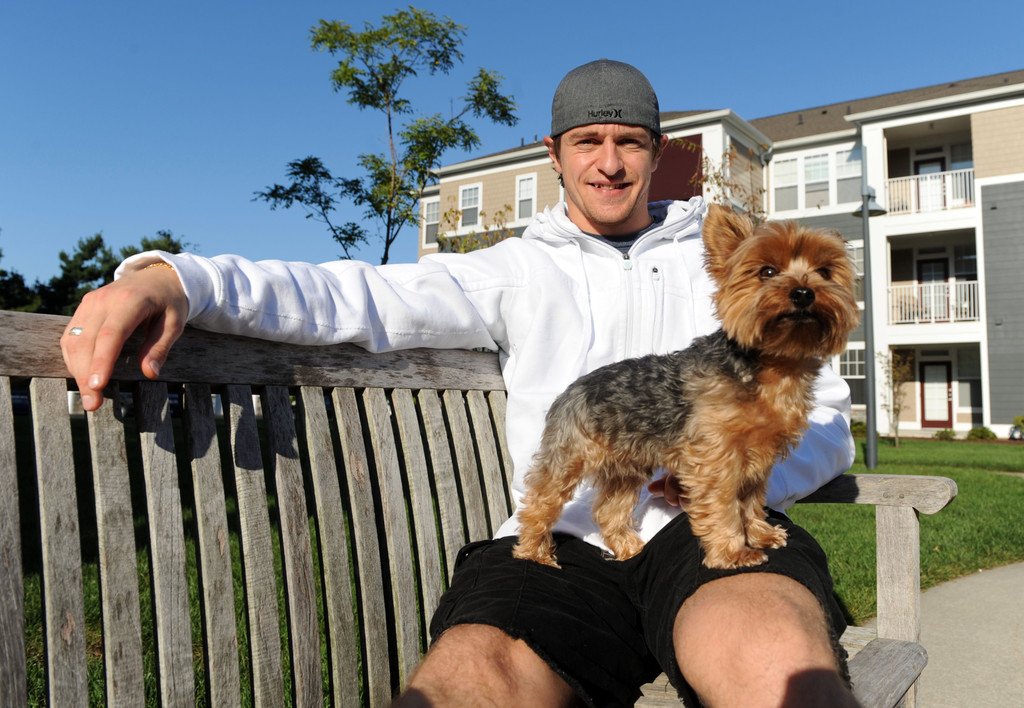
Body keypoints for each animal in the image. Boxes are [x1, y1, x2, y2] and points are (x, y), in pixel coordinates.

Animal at [511, 205, 860, 569]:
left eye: (825, 271)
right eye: (767, 271)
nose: (804, 292)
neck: (772, 365)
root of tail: (571, 390)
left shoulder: (757, 457)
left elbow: (750, 499)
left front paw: (760, 534)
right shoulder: (716, 456)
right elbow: (724, 505)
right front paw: (733, 552)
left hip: (627, 464)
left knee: (609, 509)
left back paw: (628, 547)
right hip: (571, 454)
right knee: (540, 501)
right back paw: (534, 552)